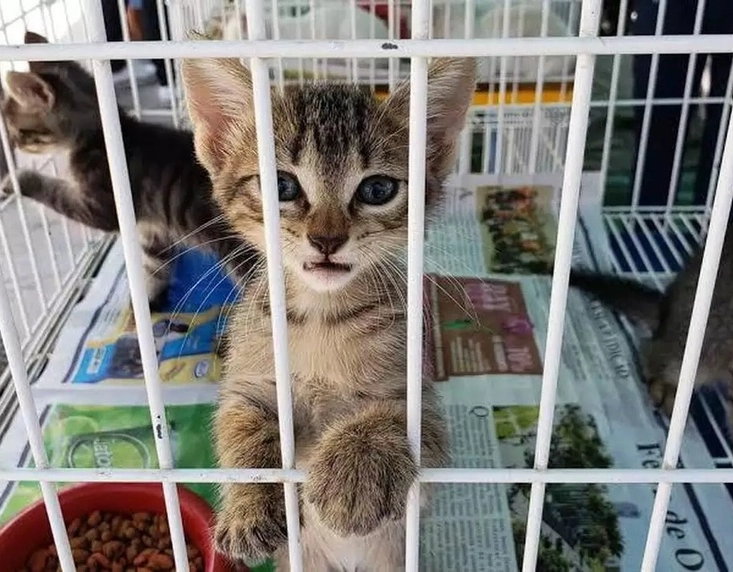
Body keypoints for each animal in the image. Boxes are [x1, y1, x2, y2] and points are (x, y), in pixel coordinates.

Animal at [1, 31, 256, 308]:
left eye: (18, 131)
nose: (12, 145)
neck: (100, 133)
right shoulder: (154, 232)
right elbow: (154, 268)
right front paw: (146, 303)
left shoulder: (101, 206)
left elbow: (56, 192)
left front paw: (17, 179)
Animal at [183, 51, 474, 568]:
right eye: (281, 185)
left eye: (377, 190)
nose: (326, 239)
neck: (321, 318)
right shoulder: (248, 381)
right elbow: (241, 427)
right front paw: (249, 506)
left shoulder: (422, 407)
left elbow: (390, 418)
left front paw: (354, 471)